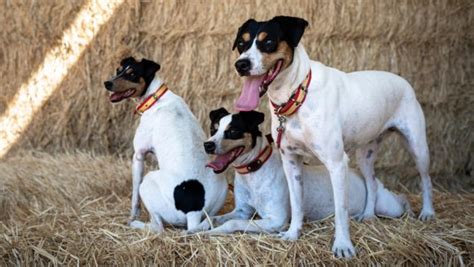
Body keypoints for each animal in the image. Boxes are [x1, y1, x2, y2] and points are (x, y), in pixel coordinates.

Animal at [103, 57, 228, 233]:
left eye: (132, 74)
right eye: (118, 70)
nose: (107, 83)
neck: (154, 98)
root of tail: (194, 212)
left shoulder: (138, 155)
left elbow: (134, 198)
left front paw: (132, 217)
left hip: (147, 182)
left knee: (158, 228)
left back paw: (137, 224)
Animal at [196, 109, 412, 234]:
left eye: (233, 131)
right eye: (214, 128)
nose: (207, 145)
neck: (254, 171)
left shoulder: (276, 220)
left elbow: (231, 224)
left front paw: (210, 233)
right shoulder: (242, 211)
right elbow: (213, 217)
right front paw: (200, 226)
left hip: (387, 207)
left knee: (401, 199)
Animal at [231, 15, 436, 258]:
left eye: (269, 42)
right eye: (241, 44)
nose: (241, 65)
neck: (297, 96)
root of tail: (403, 81)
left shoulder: (337, 163)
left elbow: (341, 210)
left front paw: (343, 245)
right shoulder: (291, 162)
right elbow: (297, 203)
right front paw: (293, 234)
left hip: (417, 146)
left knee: (426, 179)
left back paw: (427, 212)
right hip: (365, 153)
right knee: (372, 183)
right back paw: (368, 215)